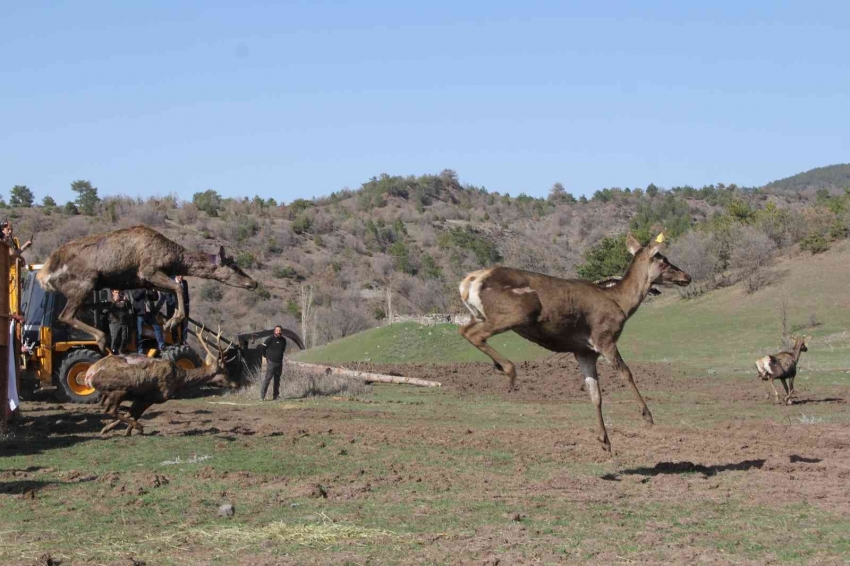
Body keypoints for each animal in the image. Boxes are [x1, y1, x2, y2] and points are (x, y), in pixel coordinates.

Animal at [34, 226, 258, 356]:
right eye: (234, 267)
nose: (253, 282)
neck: (174, 258)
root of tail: (44, 274)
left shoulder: (148, 280)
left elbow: (168, 294)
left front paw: (167, 320)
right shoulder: (148, 271)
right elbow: (177, 287)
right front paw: (171, 322)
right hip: (85, 283)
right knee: (66, 315)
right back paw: (102, 339)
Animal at [85, 326, 242, 438]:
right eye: (226, 372)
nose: (237, 384)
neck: (178, 379)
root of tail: (89, 374)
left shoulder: (142, 397)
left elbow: (132, 412)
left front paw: (118, 431)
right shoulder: (155, 395)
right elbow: (135, 413)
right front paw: (133, 429)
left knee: (108, 408)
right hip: (119, 389)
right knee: (110, 410)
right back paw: (138, 426)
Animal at [458, 233, 688, 454]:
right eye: (664, 260)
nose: (687, 276)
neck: (621, 304)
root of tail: (469, 281)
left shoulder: (584, 352)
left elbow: (595, 394)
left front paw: (605, 441)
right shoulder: (604, 338)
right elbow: (626, 373)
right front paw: (647, 415)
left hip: (485, 315)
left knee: (467, 330)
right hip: (518, 310)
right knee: (472, 333)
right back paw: (508, 369)